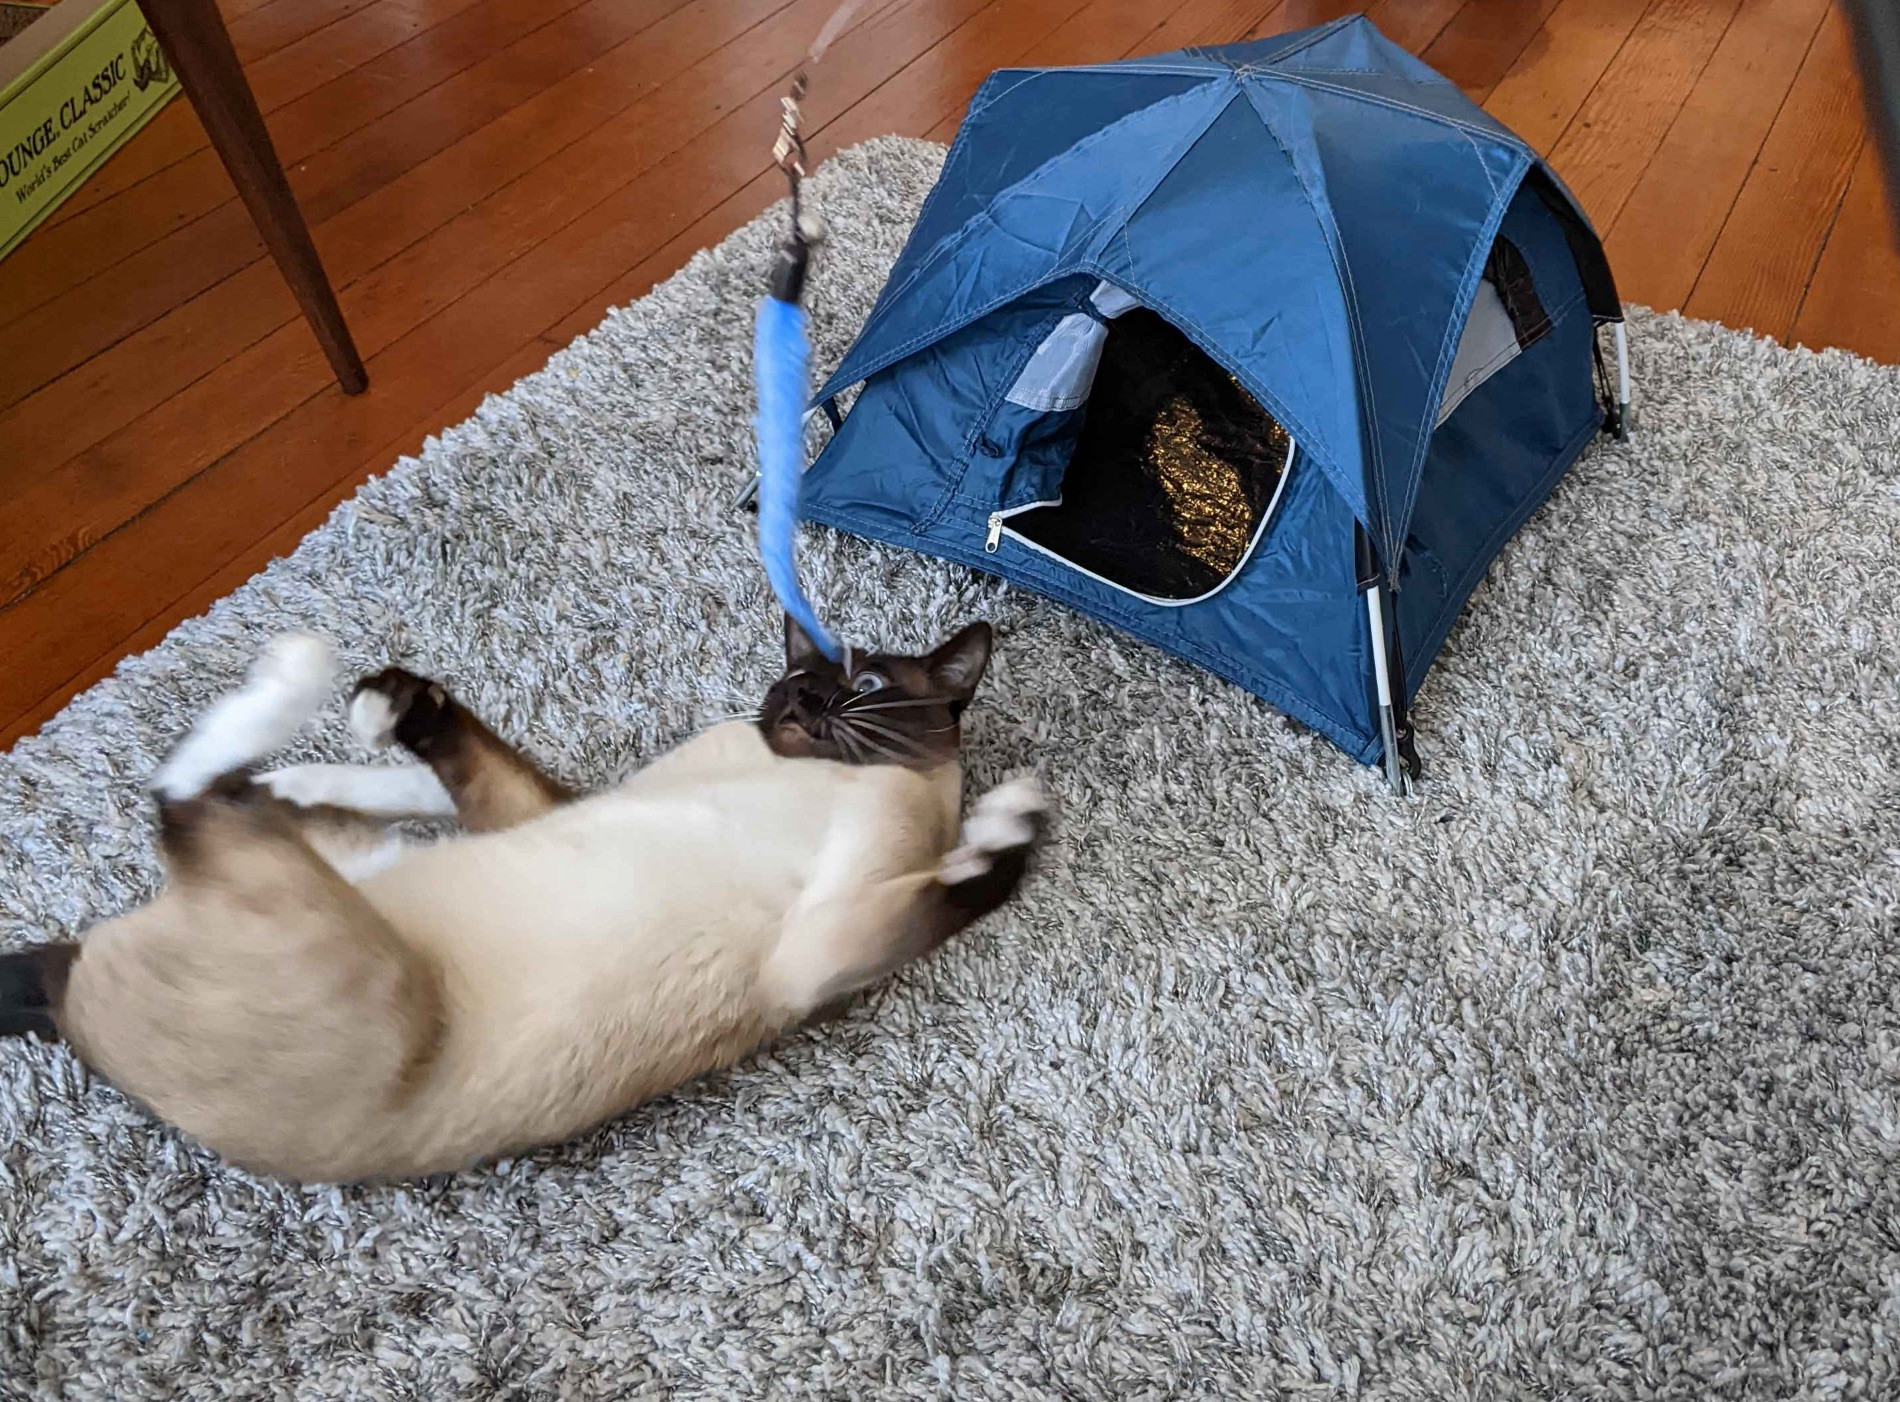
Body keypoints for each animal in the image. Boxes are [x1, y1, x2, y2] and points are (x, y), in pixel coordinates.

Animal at [0, 615, 1041, 1177]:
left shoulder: (825, 944)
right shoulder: (568, 805)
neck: (802, 765)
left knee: (190, 799)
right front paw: (393, 703)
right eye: (796, 672)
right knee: (227, 800)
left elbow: (981, 875)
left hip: (348, 948)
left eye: (862, 682)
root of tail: (67, 998)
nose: (798, 703)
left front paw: (1014, 821)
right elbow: (457, 761)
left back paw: (295, 683)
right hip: (342, 890)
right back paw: (320, 722)